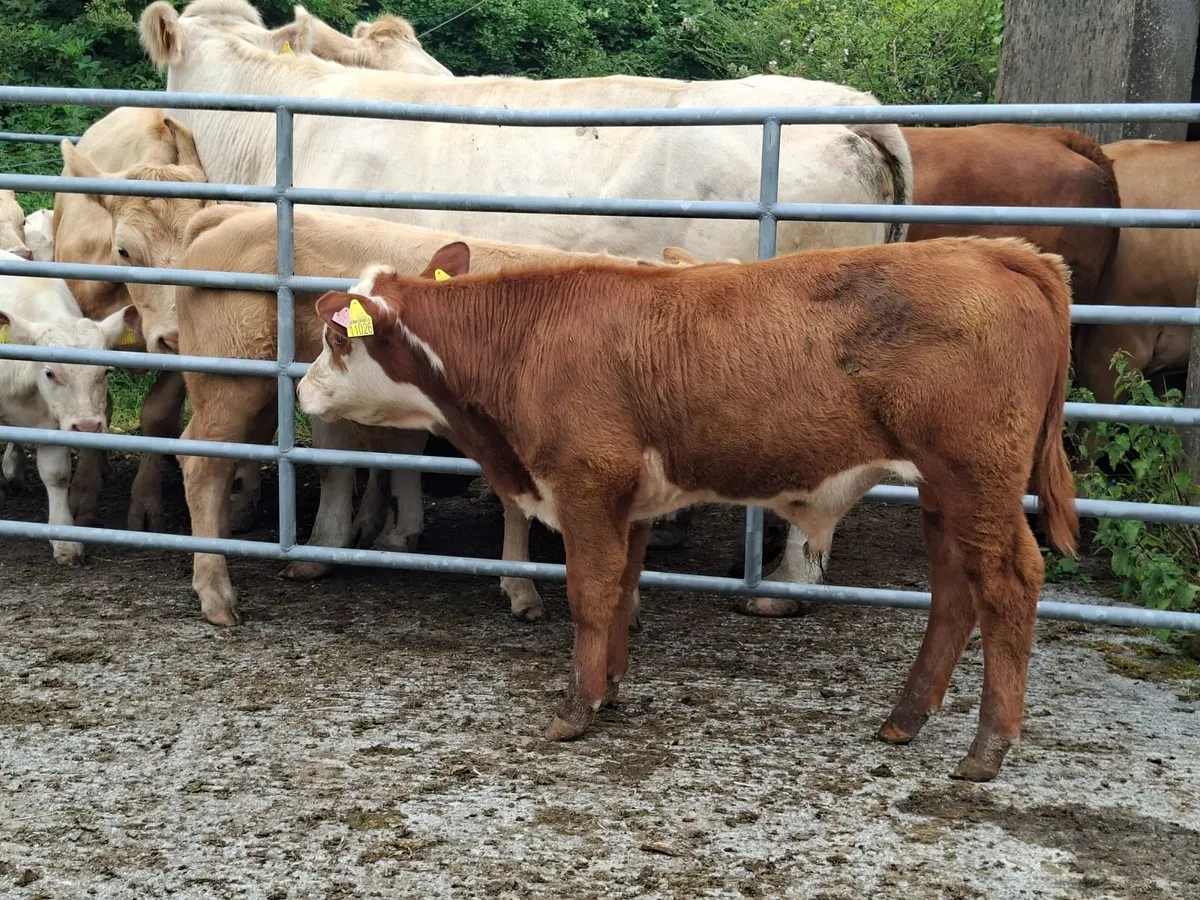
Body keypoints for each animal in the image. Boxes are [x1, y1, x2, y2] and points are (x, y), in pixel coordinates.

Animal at [0, 257, 139, 564]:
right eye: (50, 373)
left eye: (106, 371)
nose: (87, 427)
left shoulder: (53, 425)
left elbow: (56, 474)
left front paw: (65, 541)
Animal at [294, 236, 1079, 782]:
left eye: (336, 336)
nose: (301, 390)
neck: (525, 340)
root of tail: (995, 250)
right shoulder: (630, 501)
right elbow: (620, 592)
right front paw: (609, 688)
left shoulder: (585, 486)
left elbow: (589, 595)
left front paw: (576, 711)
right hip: (942, 490)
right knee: (954, 590)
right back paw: (905, 718)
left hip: (976, 477)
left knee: (1008, 584)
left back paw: (987, 747)